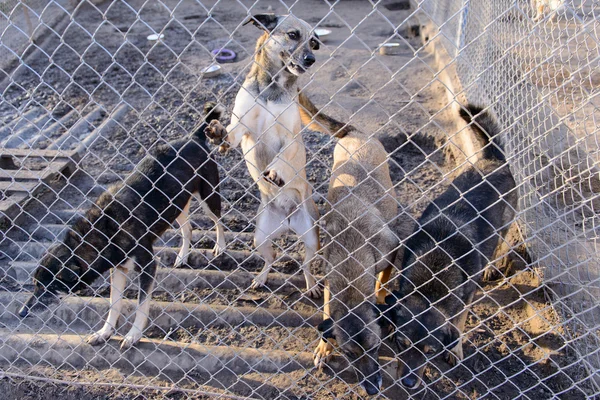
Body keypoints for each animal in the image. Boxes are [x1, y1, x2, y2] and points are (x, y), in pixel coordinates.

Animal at [18, 102, 226, 350]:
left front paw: (134, 335)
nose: (21, 313)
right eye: (34, 285)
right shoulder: (118, 269)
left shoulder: (147, 266)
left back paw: (221, 247)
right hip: (177, 205)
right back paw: (183, 256)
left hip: (208, 196)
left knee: (219, 221)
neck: (103, 232)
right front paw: (105, 332)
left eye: (46, 288)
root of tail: (193, 137)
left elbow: (141, 305)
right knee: (188, 228)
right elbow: (114, 304)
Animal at [205, 14, 324, 296]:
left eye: (314, 43)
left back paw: (312, 285)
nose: (311, 59)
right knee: (271, 259)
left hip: (312, 240)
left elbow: (281, 157)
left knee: (306, 266)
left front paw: (276, 172)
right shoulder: (241, 128)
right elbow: (229, 134)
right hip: (260, 238)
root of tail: (287, 221)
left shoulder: (290, 137)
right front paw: (217, 133)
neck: (272, 87)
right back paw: (260, 278)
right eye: (293, 35)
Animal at [384, 104, 516, 390]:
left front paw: (455, 350)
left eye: (429, 351)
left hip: (505, 222)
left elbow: (459, 323)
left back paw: (493, 265)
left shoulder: (465, 298)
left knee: (501, 244)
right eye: (402, 344)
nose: (408, 383)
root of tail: (495, 160)